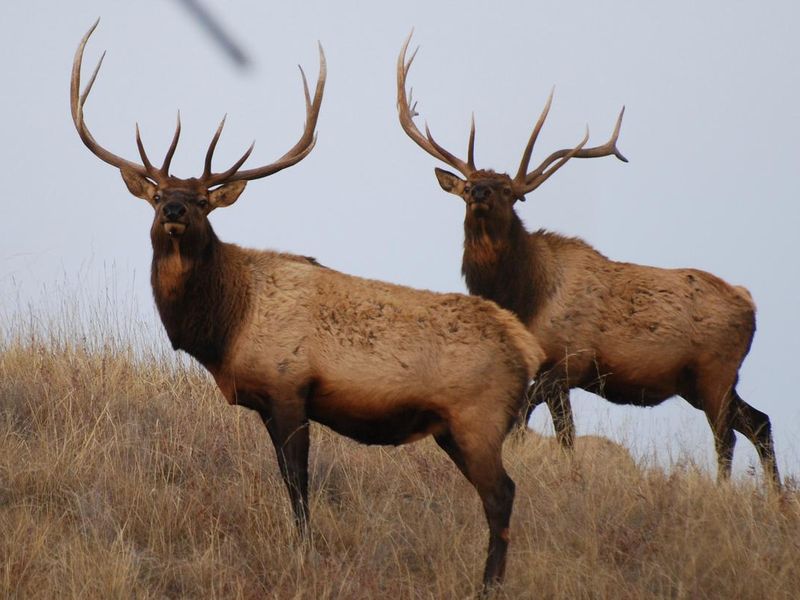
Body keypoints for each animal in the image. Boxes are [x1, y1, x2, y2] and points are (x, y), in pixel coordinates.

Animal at [71, 22, 546, 592]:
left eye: (204, 201)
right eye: (158, 194)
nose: (176, 209)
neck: (225, 327)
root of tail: (527, 346)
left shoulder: (289, 387)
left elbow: (297, 484)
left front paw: (303, 551)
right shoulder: (266, 401)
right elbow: (288, 480)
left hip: (479, 416)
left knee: (502, 495)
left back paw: (489, 583)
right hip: (456, 429)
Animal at [396, 35, 780, 487]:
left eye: (509, 190)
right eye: (470, 183)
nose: (480, 192)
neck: (525, 298)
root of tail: (749, 302)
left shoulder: (568, 361)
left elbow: (538, 423)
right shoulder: (553, 373)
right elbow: (559, 433)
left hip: (715, 370)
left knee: (728, 434)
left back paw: (724, 489)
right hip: (700, 381)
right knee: (759, 422)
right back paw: (776, 494)